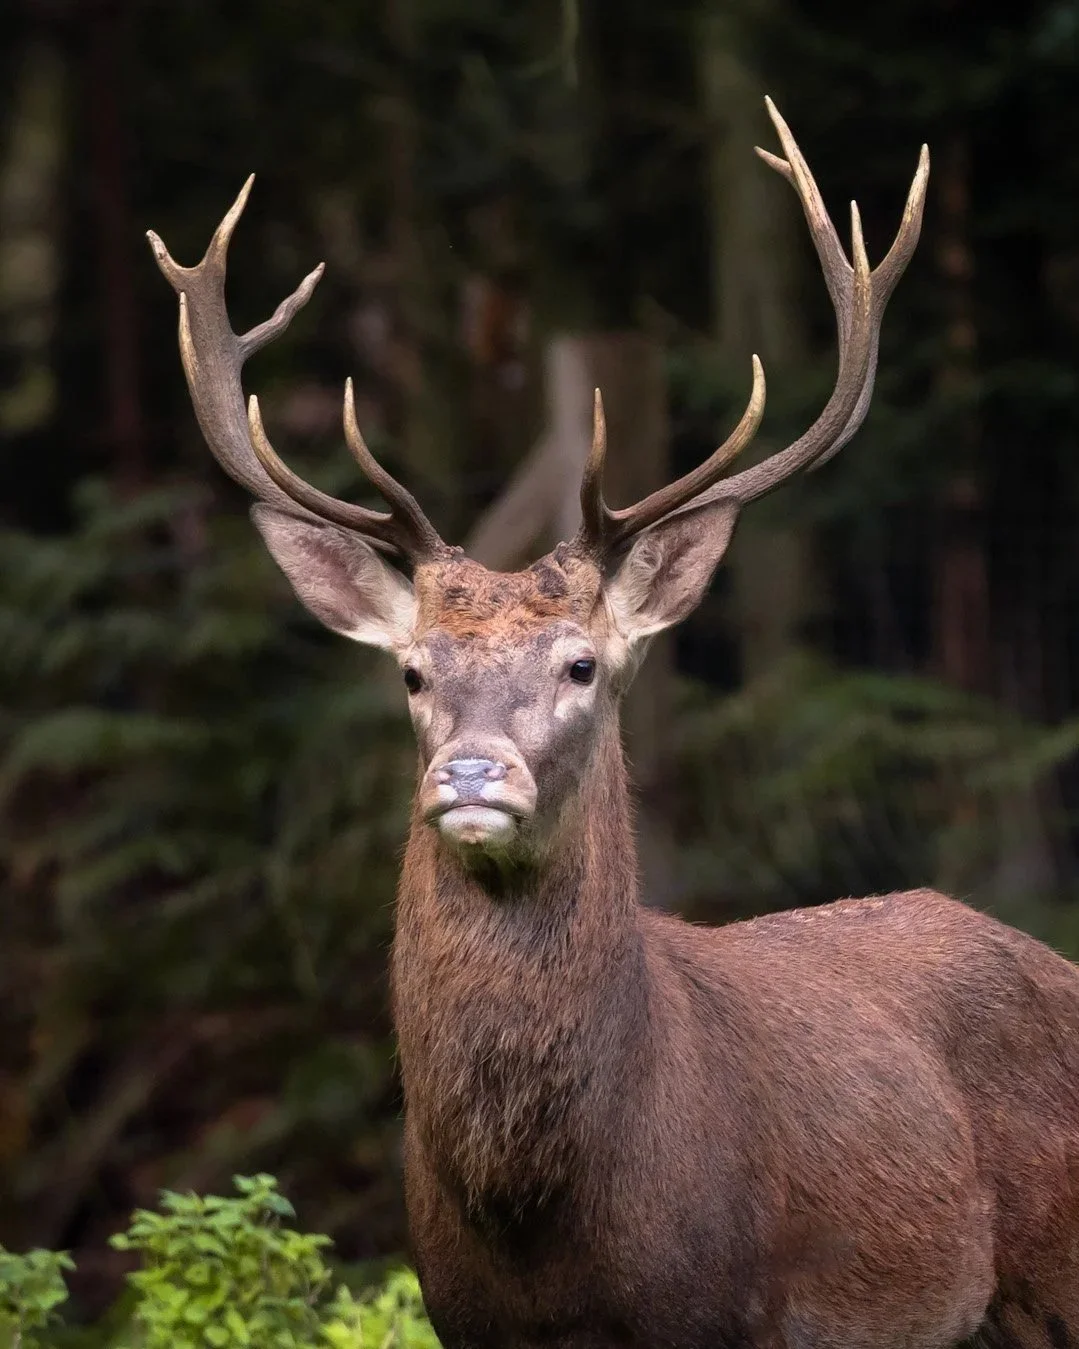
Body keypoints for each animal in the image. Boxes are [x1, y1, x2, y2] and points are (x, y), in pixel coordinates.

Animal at [147, 99, 1079, 1349]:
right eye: (413, 672)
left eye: (582, 664)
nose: (472, 775)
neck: (547, 1224)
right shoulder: (459, 1314)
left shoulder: (724, 1312)